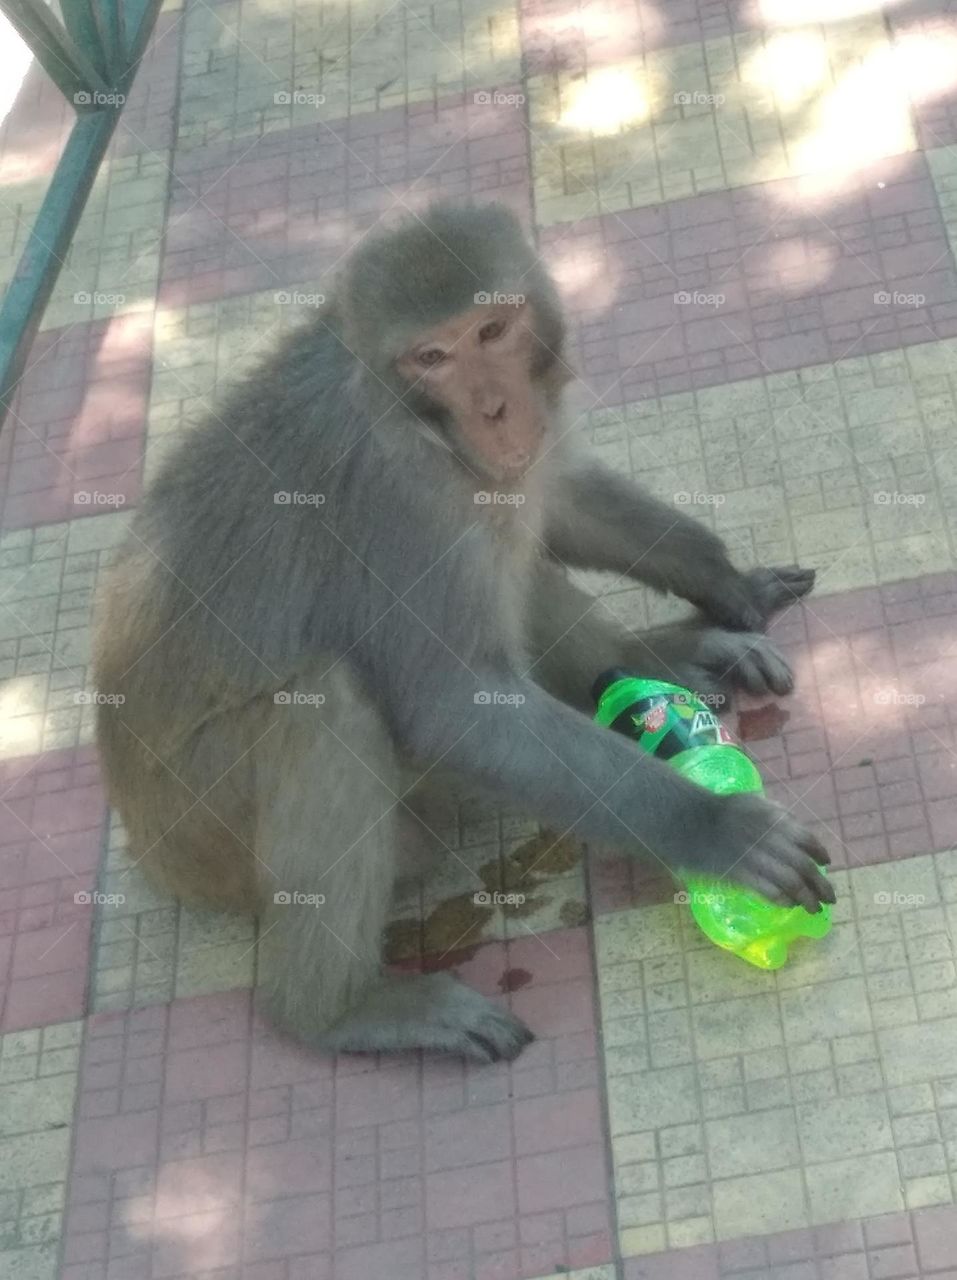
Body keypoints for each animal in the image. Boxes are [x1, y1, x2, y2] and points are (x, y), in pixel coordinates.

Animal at [93, 202, 833, 1064]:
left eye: (490, 331)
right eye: (432, 357)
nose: (493, 410)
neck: (411, 417)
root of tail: (143, 847)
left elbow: (559, 495)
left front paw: (719, 580)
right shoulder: (403, 496)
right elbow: (455, 709)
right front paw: (718, 830)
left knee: (508, 529)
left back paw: (648, 664)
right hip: (208, 836)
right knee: (332, 700)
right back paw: (337, 1013)